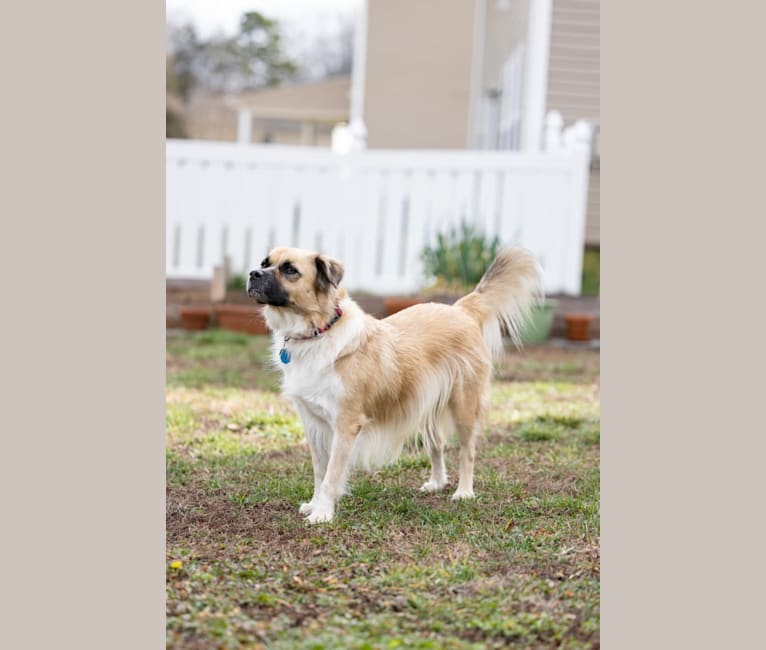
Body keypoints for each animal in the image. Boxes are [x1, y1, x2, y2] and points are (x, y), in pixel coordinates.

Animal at [249, 243, 544, 520]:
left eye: (290, 270)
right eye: (265, 263)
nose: (252, 274)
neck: (319, 331)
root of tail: (460, 310)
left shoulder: (346, 424)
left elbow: (332, 474)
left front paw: (322, 513)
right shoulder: (313, 424)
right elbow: (320, 472)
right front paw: (314, 504)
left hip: (464, 407)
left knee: (467, 450)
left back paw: (464, 491)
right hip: (425, 405)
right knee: (437, 444)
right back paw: (437, 482)